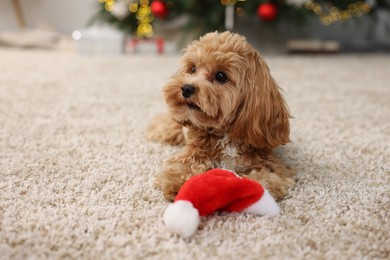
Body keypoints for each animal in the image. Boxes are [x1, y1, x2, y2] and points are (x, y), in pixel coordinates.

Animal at [148, 30, 294, 201]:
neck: (225, 133)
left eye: (221, 76)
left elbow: (267, 178)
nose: (186, 88)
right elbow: (183, 166)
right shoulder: (193, 153)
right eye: (193, 68)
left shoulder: (271, 164)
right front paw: (177, 182)